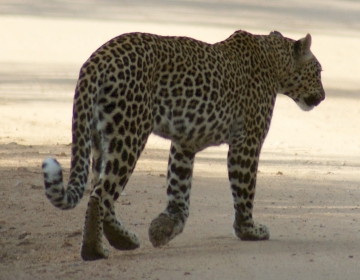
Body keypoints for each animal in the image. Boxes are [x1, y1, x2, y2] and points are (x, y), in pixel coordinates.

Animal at [40, 30, 324, 260]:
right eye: (319, 71)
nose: (322, 96)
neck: (275, 60)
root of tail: (97, 58)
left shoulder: (185, 144)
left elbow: (179, 189)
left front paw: (163, 228)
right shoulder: (247, 142)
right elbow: (245, 190)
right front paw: (249, 231)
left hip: (101, 139)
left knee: (99, 191)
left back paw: (123, 240)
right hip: (129, 134)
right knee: (101, 195)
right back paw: (95, 251)